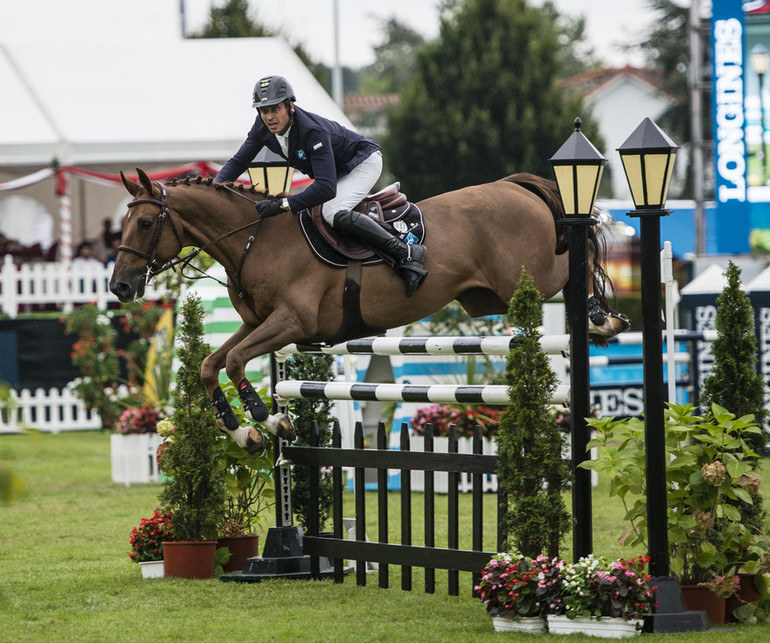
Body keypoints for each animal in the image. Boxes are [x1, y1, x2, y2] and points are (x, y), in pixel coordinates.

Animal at [109, 169, 624, 456]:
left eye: (147, 222)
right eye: (126, 221)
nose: (120, 286)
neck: (255, 239)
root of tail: (513, 187)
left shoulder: (291, 322)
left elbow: (234, 361)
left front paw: (270, 421)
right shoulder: (258, 324)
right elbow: (210, 364)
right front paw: (244, 435)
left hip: (527, 280)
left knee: (578, 257)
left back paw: (601, 317)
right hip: (490, 297)